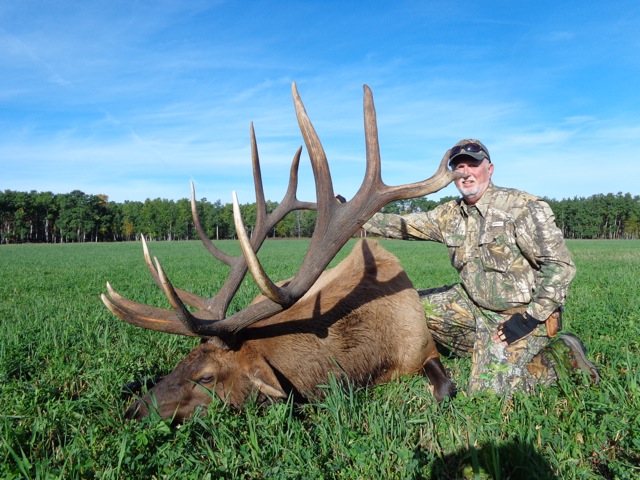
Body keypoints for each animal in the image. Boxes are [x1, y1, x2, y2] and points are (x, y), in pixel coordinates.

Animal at [101, 82, 463, 422]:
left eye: (206, 377)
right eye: (185, 357)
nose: (134, 411)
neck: (371, 361)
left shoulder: (424, 347)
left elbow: (445, 389)